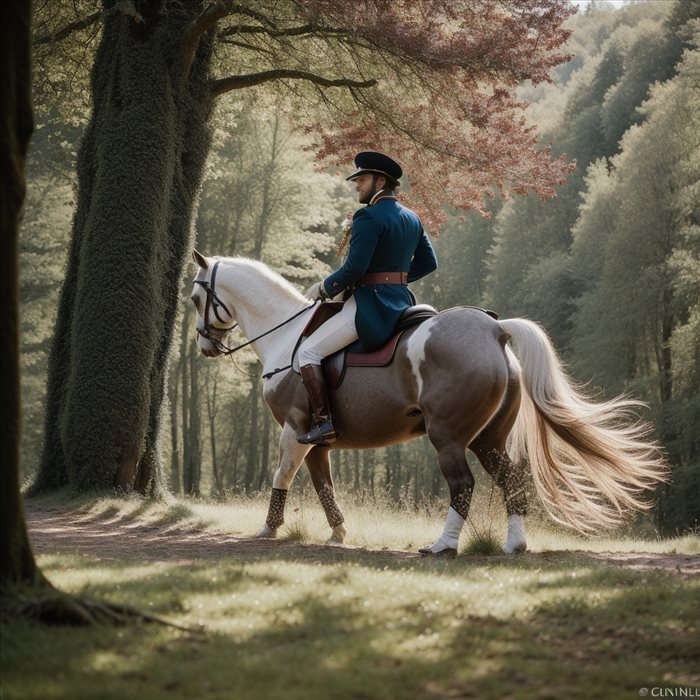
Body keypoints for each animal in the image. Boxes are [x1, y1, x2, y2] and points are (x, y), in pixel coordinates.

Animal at [190, 250, 668, 552]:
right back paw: (514, 545)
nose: (205, 347)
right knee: (510, 480)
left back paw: (442, 546)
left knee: (463, 485)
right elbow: (324, 485)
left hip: (448, 437)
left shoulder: (295, 428)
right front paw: (338, 533)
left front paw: (268, 529)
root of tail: (493, 329)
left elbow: (283, 475)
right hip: (488, 438)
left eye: (196, 298)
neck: (288, 335)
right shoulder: (318, 441)